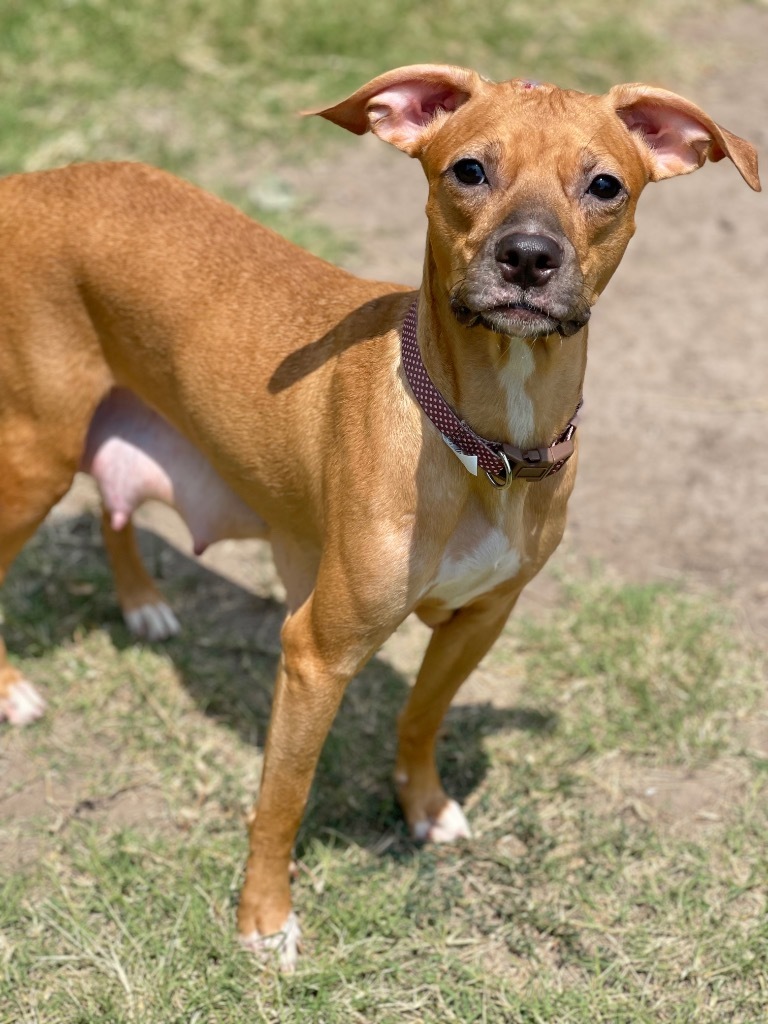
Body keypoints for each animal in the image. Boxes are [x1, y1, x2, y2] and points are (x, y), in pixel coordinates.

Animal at [0, 66, 761, 966]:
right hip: (36, 454)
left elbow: (421, 718)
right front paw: (265, 918)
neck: (484, 446)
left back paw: (143, 603)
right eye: (469, 170)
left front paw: (423, 808)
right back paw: (15, 690)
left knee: (111, 502)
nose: (528, 256)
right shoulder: (317, 654)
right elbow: (284, 796)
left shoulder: (482, 618)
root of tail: (30, 182)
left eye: (605, 184)